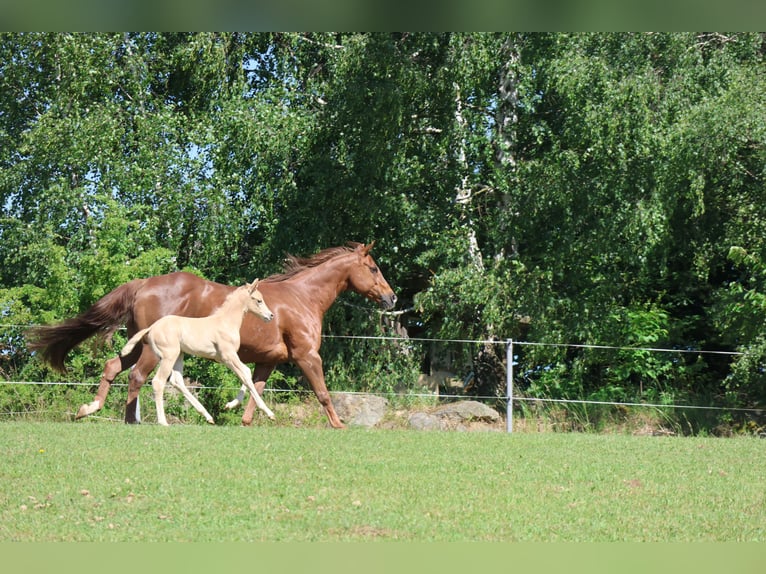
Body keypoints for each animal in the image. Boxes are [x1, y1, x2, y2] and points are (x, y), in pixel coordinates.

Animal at [119, 280, 275, 426]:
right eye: (259, 300)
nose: (270, 316)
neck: (225, 322)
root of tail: (151, 328)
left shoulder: (224, 359)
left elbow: (246, 374)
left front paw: (230, 405)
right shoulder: (228, 355)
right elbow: (246, 375)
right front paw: (269, 413)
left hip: (179, 355)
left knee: (177, 381)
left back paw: (208, 416)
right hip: (169, 356)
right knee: (158, 381)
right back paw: (163, 421)